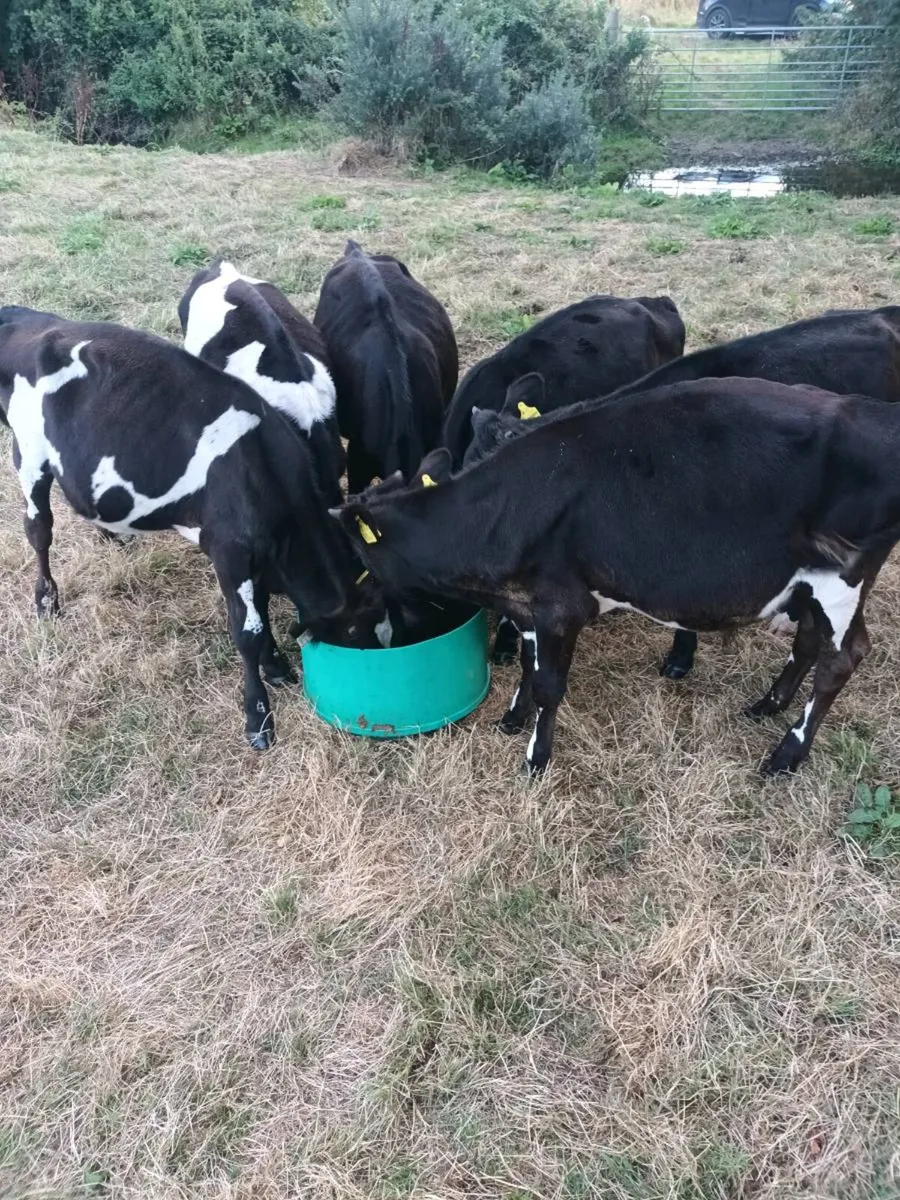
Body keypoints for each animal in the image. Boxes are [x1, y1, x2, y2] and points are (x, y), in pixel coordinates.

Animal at [0, 306, 386, 751]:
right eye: (356, 632)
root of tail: (24, 319)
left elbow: (260, 610)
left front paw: (275, 666)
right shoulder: (229, 549)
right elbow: (248, 630)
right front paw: (258, 717)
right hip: (29, 453)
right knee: (38, 528)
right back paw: (46, 601)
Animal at [335, 375, 900, 777]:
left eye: (361, 566)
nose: (341, 613)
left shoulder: (560, 604)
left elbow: (549, 684)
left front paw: (536, 759)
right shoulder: (530, 604)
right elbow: (528, 665)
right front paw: (513, 718)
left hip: (843, 575)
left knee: (842, 657)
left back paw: (786, 755)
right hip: (809, 582)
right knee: (809, 641)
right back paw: (767, 705)